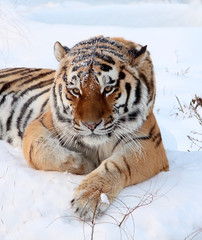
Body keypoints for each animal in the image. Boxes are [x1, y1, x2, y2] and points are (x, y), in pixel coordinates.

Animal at [0, 35, 169, 219]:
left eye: (108, 89)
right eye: (75, 90)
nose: (91, 124)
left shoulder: (149, 144)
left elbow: (118, 165)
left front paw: (87, 200)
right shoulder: (40, 123)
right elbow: (40, 149)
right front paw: (85, 163)